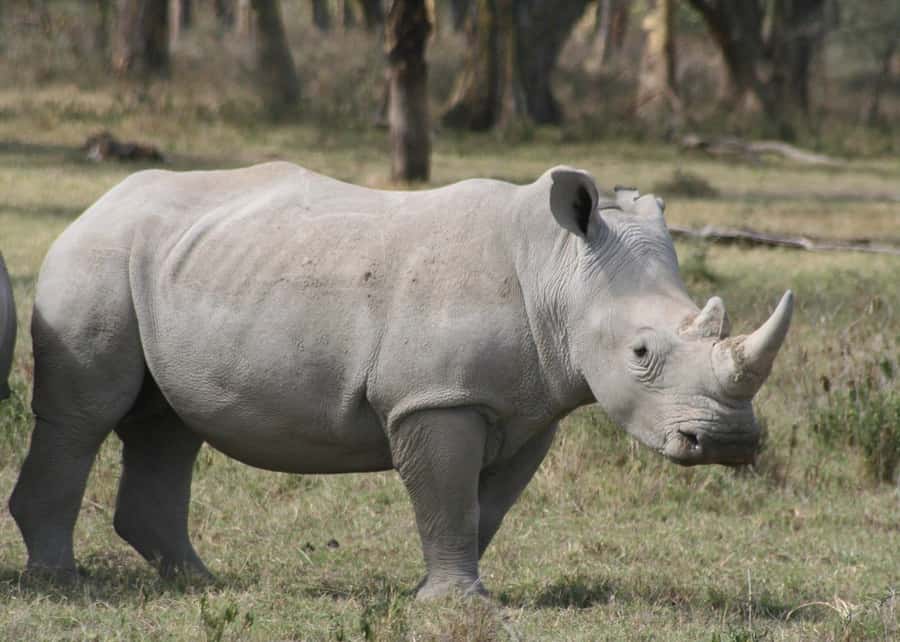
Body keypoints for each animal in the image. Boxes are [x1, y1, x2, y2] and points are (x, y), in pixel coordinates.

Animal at [9, 163, 792, 598]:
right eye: (640, 352)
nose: (727, 443)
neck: (561, 271)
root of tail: (99, 201)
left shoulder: (529, 405)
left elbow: (484, 506)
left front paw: (439, 590)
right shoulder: (435, 398)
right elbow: (445, 495)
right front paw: (457, 605)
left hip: (173, 265)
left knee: (170, 424)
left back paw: (199, 581)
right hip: (95, 255)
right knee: (85, 416)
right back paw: (61, 580)